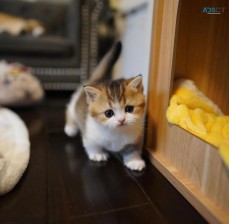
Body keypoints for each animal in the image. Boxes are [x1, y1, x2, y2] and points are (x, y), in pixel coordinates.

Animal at [64, 42, 146, 171]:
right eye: (108, 113)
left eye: (129, 109)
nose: (121, 120)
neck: (116, 132)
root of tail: (96, 80)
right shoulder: (90, 134)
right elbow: (92, 145)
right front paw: (98, 154)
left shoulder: (136, 137)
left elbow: (133, 150)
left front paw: (134, 161)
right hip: (75, 103)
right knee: (70, 109)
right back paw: (70, 128)